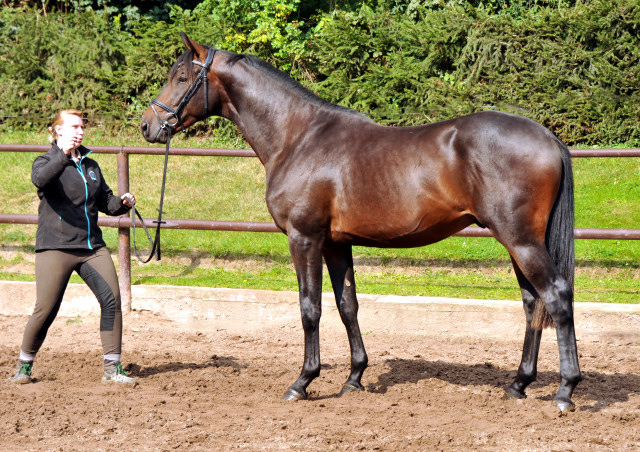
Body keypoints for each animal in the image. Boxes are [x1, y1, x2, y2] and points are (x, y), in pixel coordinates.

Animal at [140, 32, 580, 414]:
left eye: (181, 78)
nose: (148, 125)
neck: (298, 137)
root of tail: (548, 137)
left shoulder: (304, 238)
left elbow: (310, 307)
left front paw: (303, 382)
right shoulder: (336, 243)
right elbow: (347, 304)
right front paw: (354, 378)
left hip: (520, 240)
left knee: (556, 296)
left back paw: (565, 391)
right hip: (519, 242)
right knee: (533, 303)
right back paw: (518, 384)